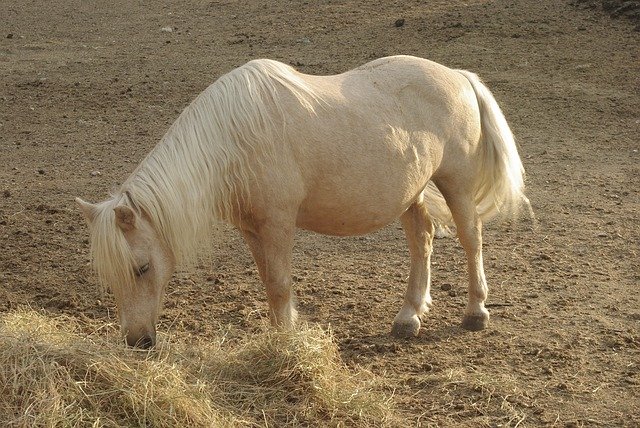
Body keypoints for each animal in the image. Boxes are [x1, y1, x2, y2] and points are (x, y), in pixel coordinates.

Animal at [75, 55, 528, 348]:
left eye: (142, 268)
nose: (137, 341)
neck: (233, 139)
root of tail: (459, 76)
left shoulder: (277, 223)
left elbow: (279, 285)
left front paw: (287, 343)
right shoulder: (252, 228)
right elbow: (269, 283)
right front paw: (282, 336)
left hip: (457, 184)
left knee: (471, 240)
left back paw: (475, 312)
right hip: (411, 194)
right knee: (423, 242)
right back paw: (408, 317)